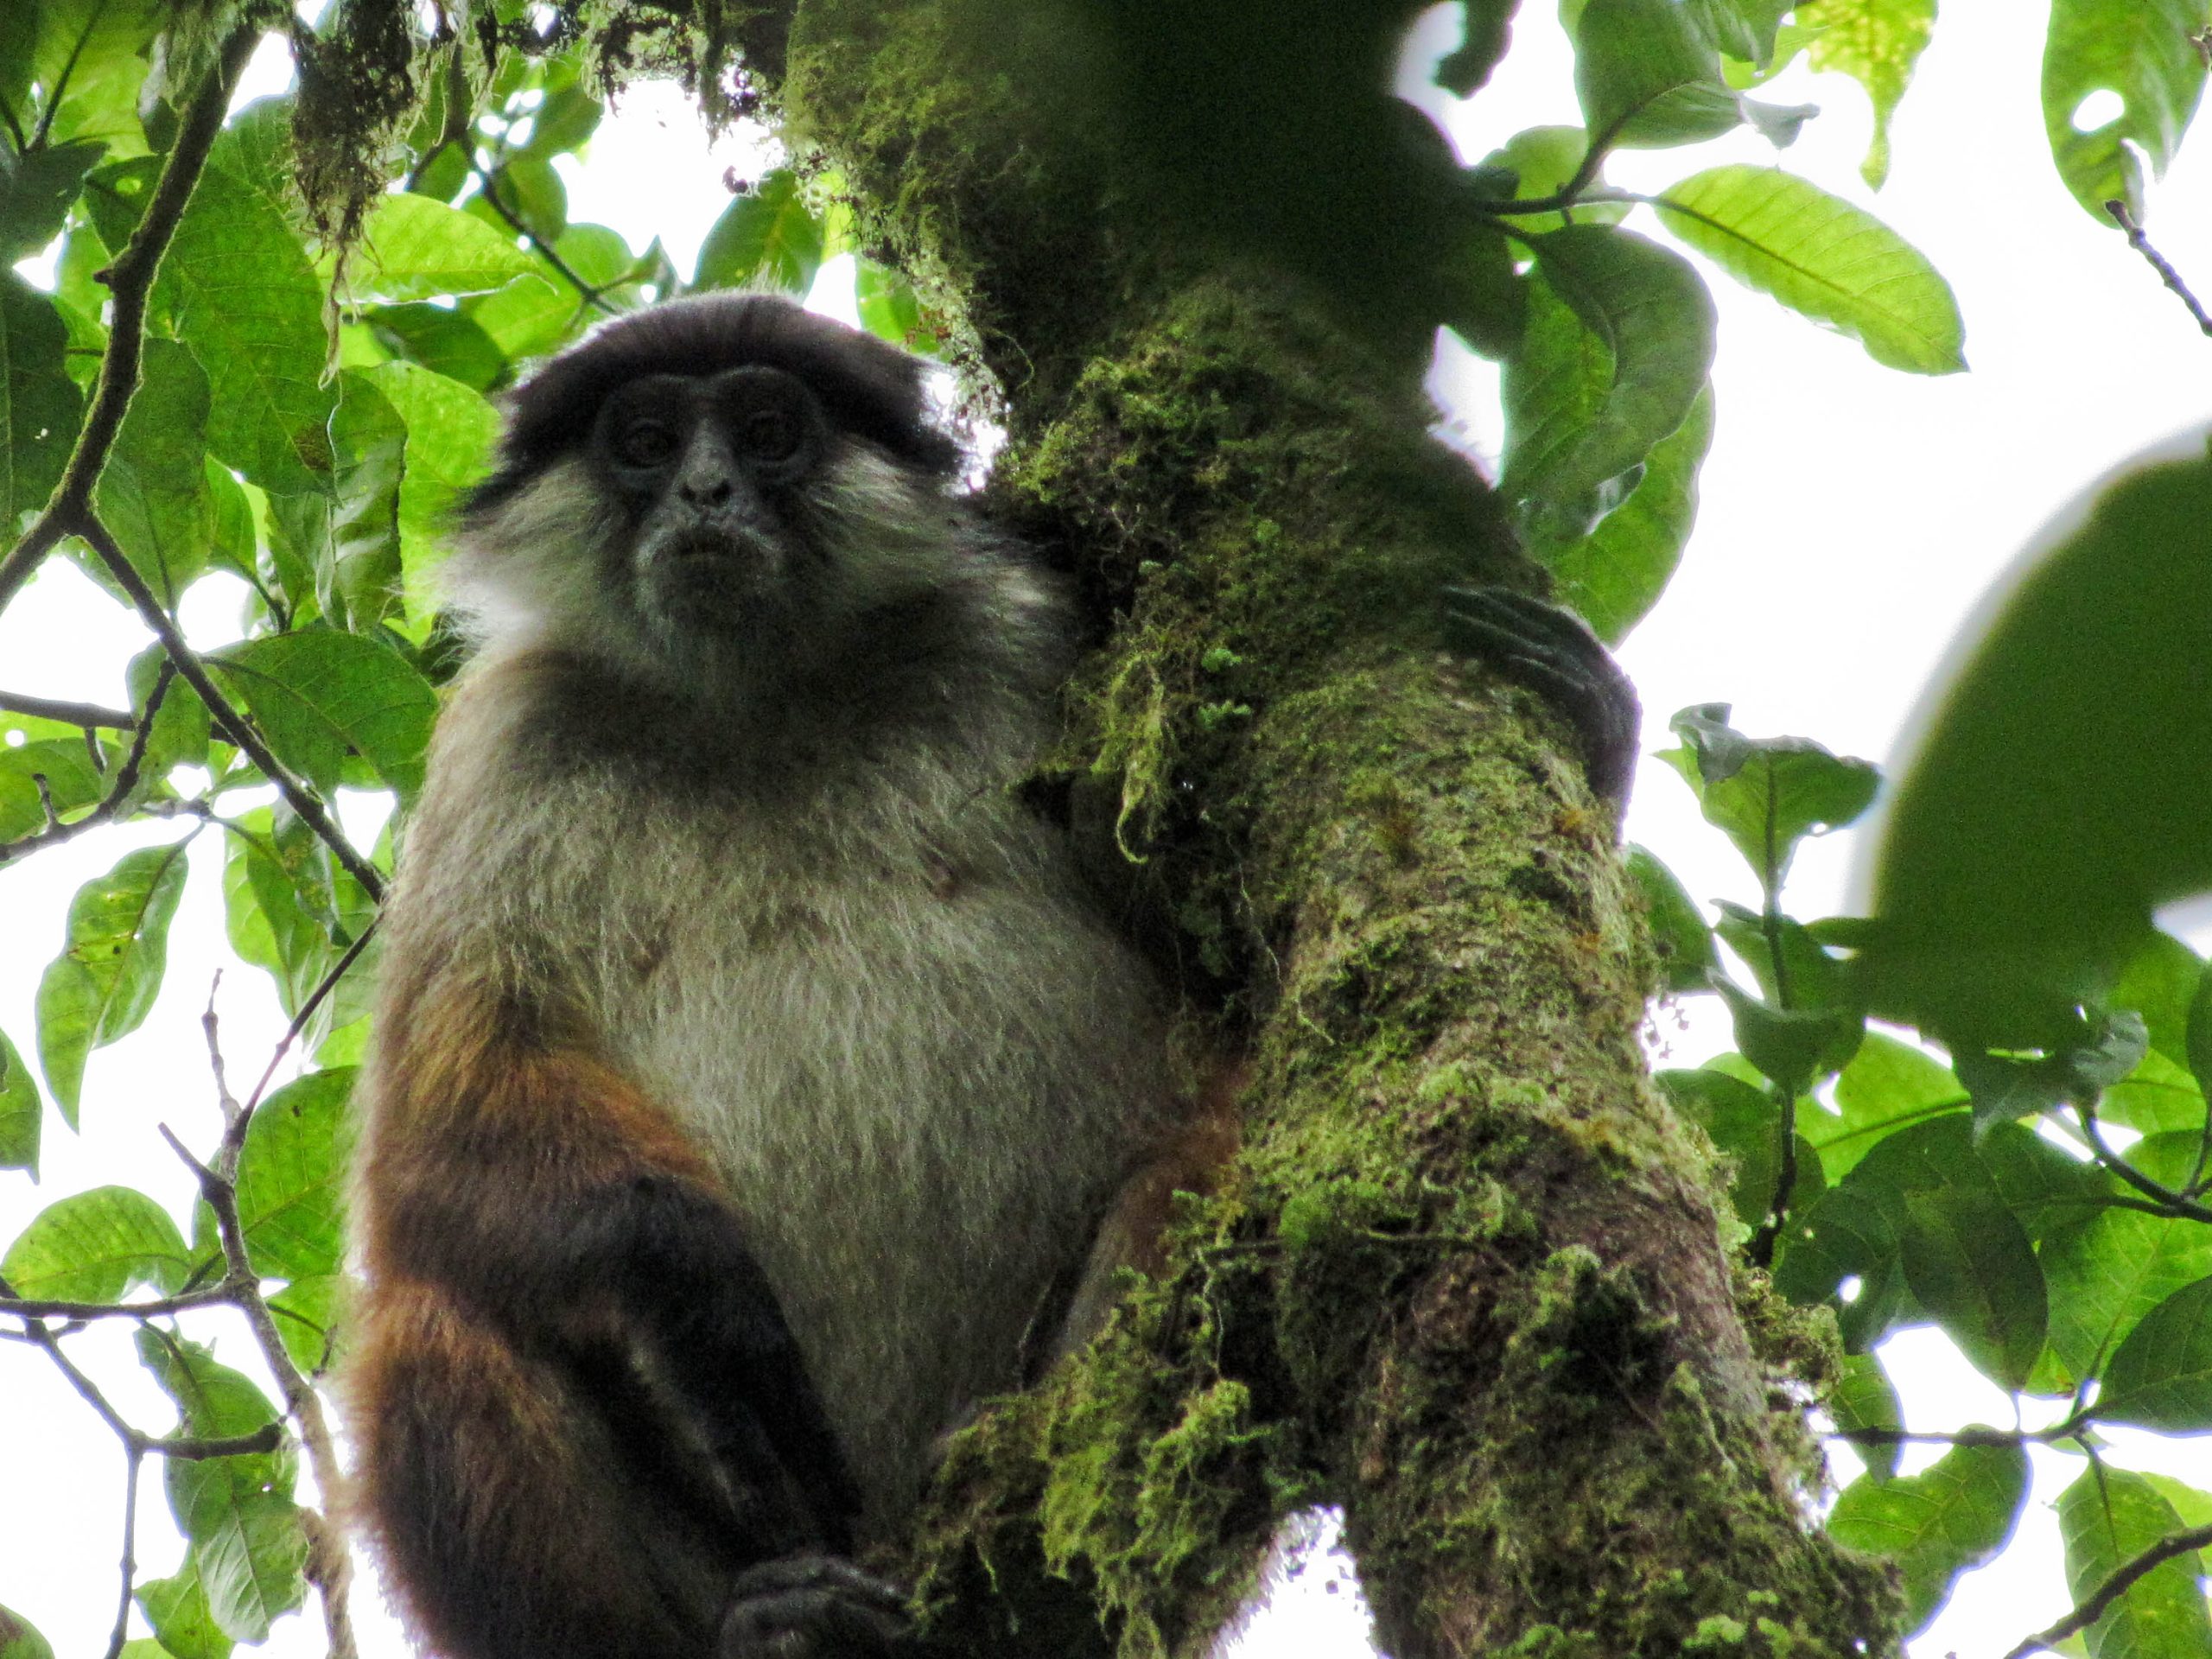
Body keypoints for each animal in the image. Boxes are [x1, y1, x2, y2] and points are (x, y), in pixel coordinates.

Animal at [340, 292, 1641, 1659]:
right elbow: (421, 1162)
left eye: (766, 431)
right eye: (643, 443)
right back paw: (765, 1618)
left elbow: (1277, 1010)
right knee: (425, 1318)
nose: (704, 491)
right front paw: (697, 1291)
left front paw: (1590, 732)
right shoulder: (509, 738)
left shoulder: (1024, 637)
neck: (760, 704)